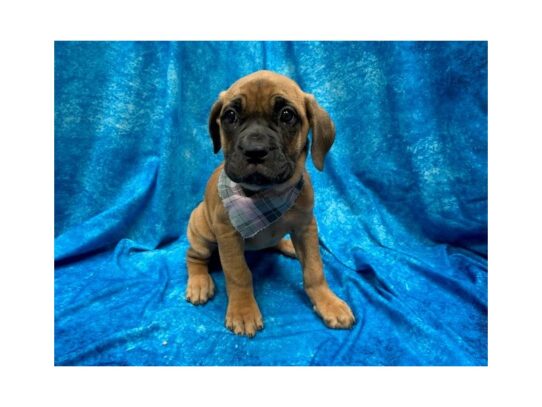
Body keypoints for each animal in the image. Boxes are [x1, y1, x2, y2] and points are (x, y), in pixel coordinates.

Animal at [187, 71, 356, 338]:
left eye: (287, 115)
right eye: (230, 116)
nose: (255, 151)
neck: (267, 194)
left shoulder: (306, 227)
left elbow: (314, 270)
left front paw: (327, 302)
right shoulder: (228, 236)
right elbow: (238, 274)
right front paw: (243, 311)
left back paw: (286, 245)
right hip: (203, 233)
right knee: (193, 256)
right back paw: (199, 283)